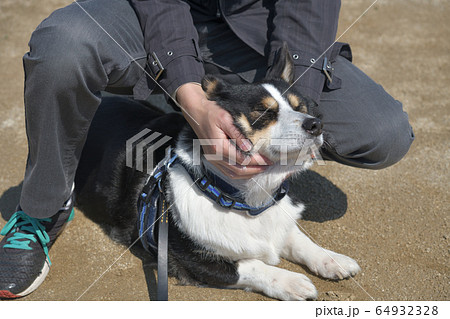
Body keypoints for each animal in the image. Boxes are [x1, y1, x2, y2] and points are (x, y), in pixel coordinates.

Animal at [75, 43, 360, 302]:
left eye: (300, 107)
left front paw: (333, 260)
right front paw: (291, 282)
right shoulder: (192, 261)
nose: (316, 125)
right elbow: (251, 264)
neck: (245, 199)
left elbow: (299, 239)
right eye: (263, 111)